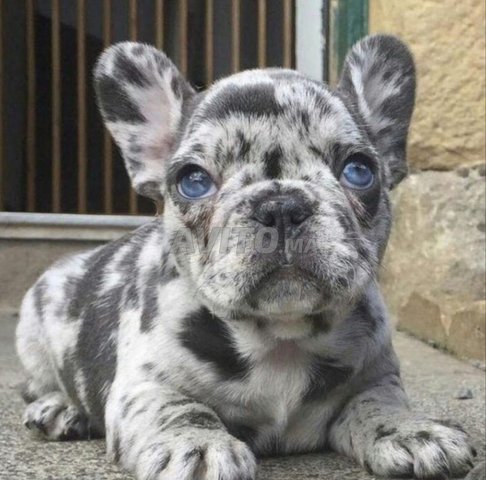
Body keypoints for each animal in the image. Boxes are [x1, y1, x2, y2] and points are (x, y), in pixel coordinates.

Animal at [16, 35, 476, 480]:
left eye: (359, 170)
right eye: (193, 181)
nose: (281, 205)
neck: (282, 338)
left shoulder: (377, 376)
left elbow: (379, 403)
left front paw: (412, 430)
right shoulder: (144, 385)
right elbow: (177, 408)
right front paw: (196, 444)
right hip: (34, 331)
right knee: (40, 385)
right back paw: (61, 408)